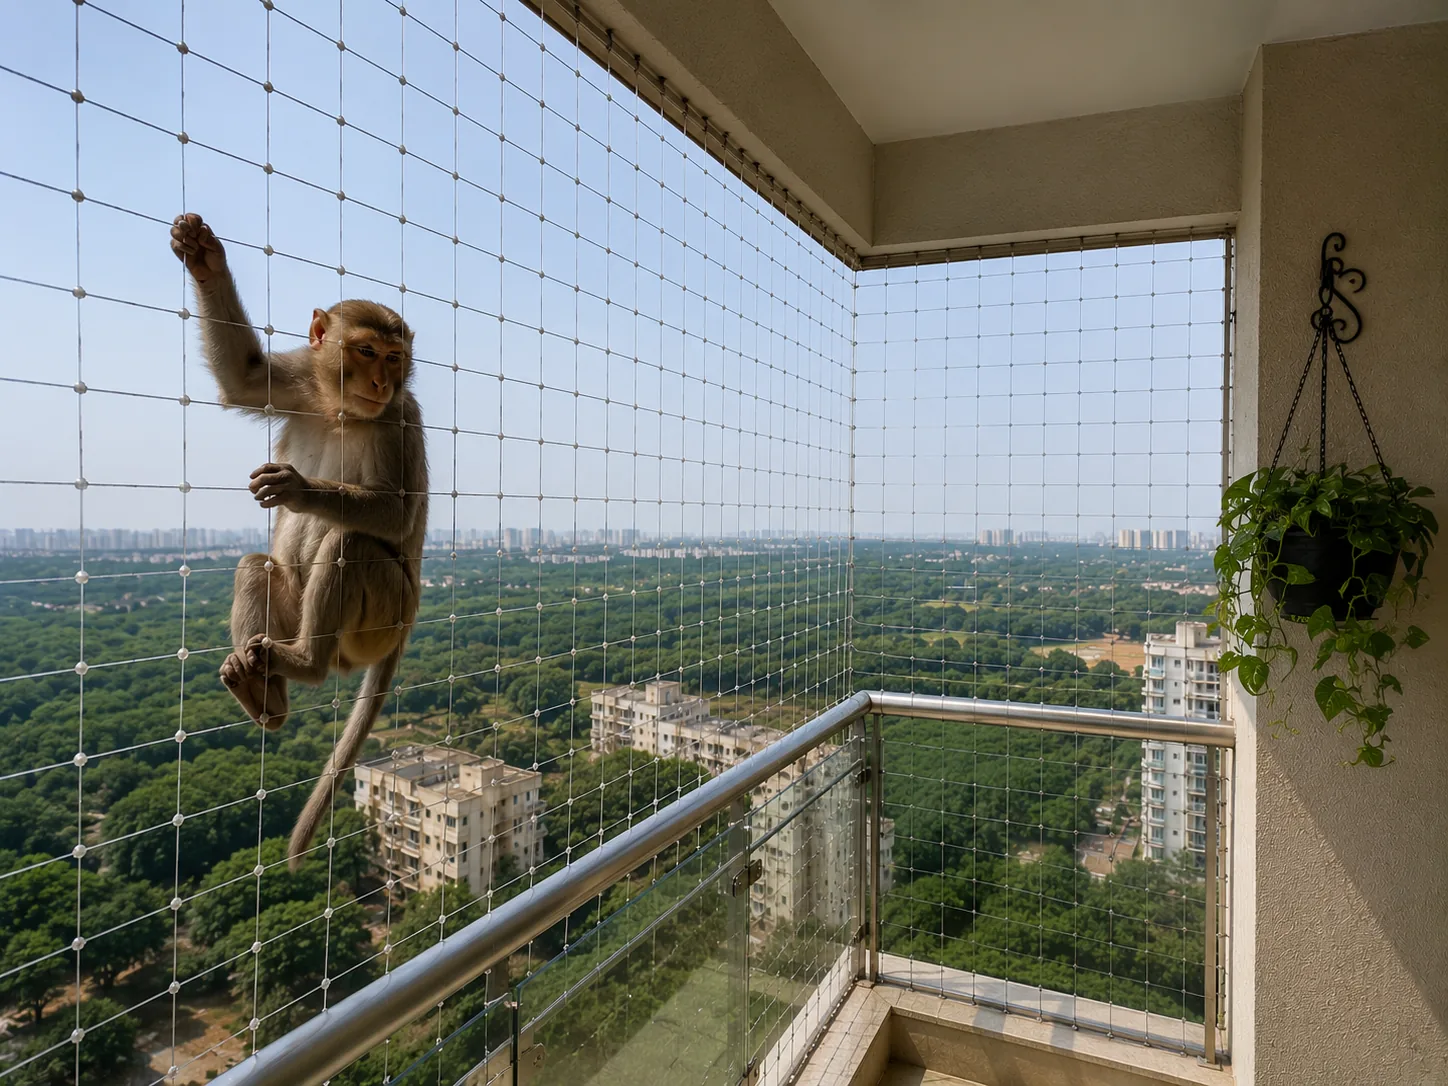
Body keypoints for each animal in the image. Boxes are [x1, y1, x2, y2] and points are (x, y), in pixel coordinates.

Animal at [170, 212, 428, 868]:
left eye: (395, 357)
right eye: (367, 351)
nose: (382, 379)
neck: (344, 410)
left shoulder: (399, 418)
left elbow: (395, 514)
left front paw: (299, 487)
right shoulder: (303, 385)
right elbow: (246, 377)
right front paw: (202, 254)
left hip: (381, 618)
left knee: (351, 544)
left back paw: (305, 663)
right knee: (256, 565)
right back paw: (266, 697)